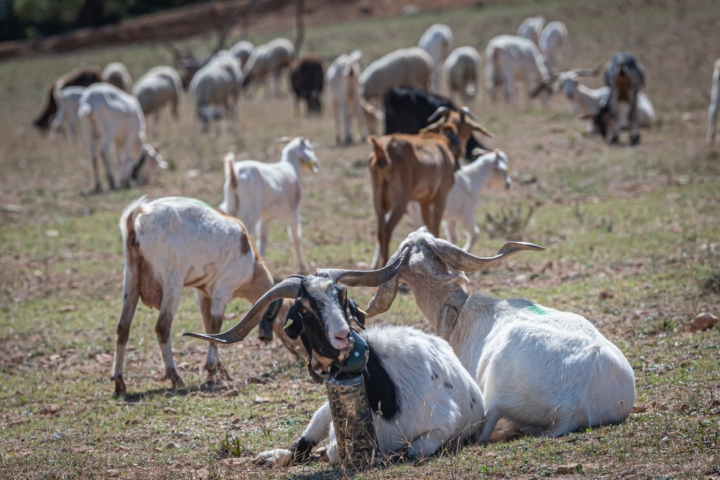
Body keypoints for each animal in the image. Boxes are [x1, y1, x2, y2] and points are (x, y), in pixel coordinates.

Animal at [112, 196, 283, 396]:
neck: (252, 265)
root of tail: (134, 223)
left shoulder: (203, 293)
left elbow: (209, 328)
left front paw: (218, 370)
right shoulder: (221, 291)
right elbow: (216, 327)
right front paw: (212, 369)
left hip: (131, 278)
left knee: (123, 328)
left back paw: (119, 383)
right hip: (173, 280)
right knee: (162, 327)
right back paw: (175, 377)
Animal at [183, 254, 486, 465]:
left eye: (342, 295)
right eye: (304, 309)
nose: (343, 335)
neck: (383, 387)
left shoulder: (440, 429)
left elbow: (409, 451)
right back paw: (274, 456)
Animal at [220, 137, 319, 274]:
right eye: (310, 148)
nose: (316, 163)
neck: (292, 166)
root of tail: (234, 173)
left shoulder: (265, 218)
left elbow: (263, 240)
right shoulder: (293, 212)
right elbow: (296, 238)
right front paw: (302, 267)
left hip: (230, 204)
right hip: (251, 211)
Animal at [368, 107, 493, 269]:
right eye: (468, 130)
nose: (464, 152)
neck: (443, 142)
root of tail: (383, 150)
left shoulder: (424, 201)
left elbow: (427, 227)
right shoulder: (440, 198)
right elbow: (435, 229)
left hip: (379, 198)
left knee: (379, 231)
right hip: (400, 200)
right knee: (387, 230)